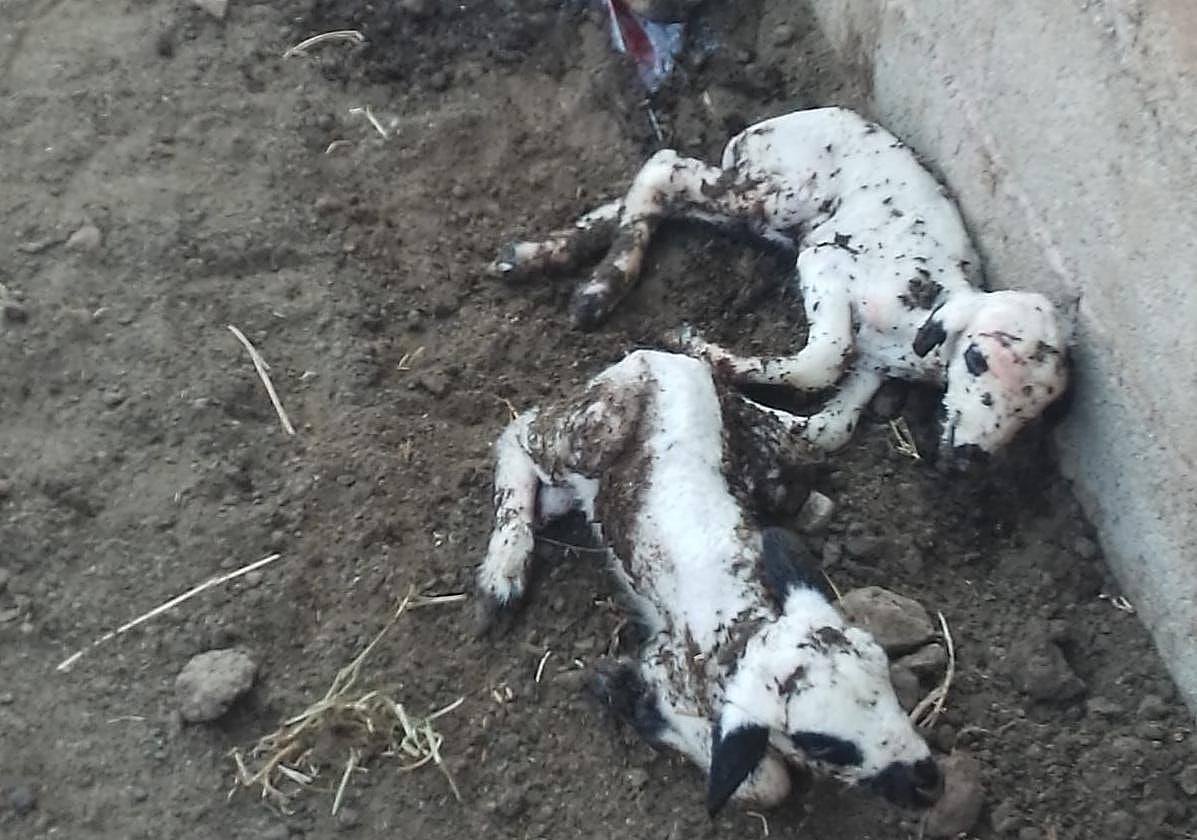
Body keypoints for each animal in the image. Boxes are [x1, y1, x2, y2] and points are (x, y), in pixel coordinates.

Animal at [474, 349, 942, 815]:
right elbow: (769, 784)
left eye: (886, 676)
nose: (928, 783)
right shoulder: (664, 663)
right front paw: (629, 696)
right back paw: (504, 571)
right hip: (586, 433)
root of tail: (657, 357)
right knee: (520, 433)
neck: (744, 623)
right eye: (823, 745)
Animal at [490, 107, 1072, 467]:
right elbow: (823, 359)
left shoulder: (874, 368)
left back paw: (535, 255)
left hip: (762, 206)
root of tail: (773, 124)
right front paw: (697, 350)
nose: (973, 457)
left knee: (662, 195)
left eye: (1033, 412)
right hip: (780, 196)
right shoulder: (828, 263)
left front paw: (743, 403)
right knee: (666, 167)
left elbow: (827, 430)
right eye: (976, 359)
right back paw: (601, 285)